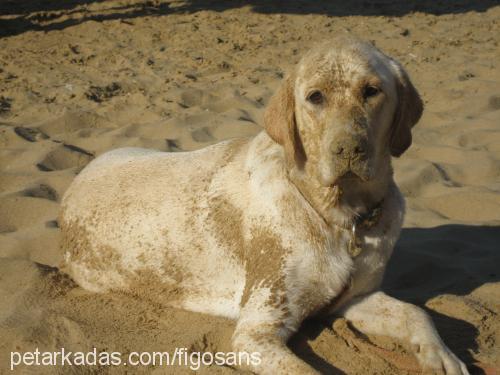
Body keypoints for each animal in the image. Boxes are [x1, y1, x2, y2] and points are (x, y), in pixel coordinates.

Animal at [60, 36, 470, 375]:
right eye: (315, 97)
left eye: (372, 91)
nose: (349, 149)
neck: (338, 215)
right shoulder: (257, 330)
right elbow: (306, 372)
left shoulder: (355, 298)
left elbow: (416, 313)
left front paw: (442, 357)